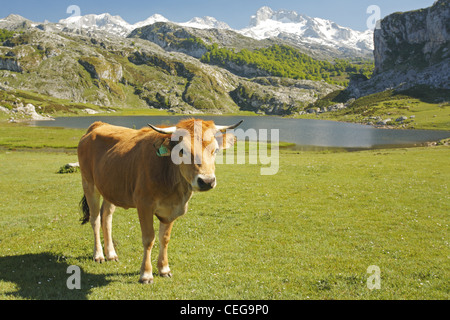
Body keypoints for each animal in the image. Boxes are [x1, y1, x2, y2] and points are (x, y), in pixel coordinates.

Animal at [77, 119, 243, 284]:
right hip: (88, 183)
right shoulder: (144, 205)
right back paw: (99, 255)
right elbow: (148, 239)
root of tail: (98, 124)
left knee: (106, 217)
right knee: (95, 219)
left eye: (216, 150)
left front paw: (164, 269)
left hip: (110, 189)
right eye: (182, 150)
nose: (207, 181)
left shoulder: (171, 210)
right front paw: (146, 274)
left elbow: (165, 238)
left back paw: (111, 254)